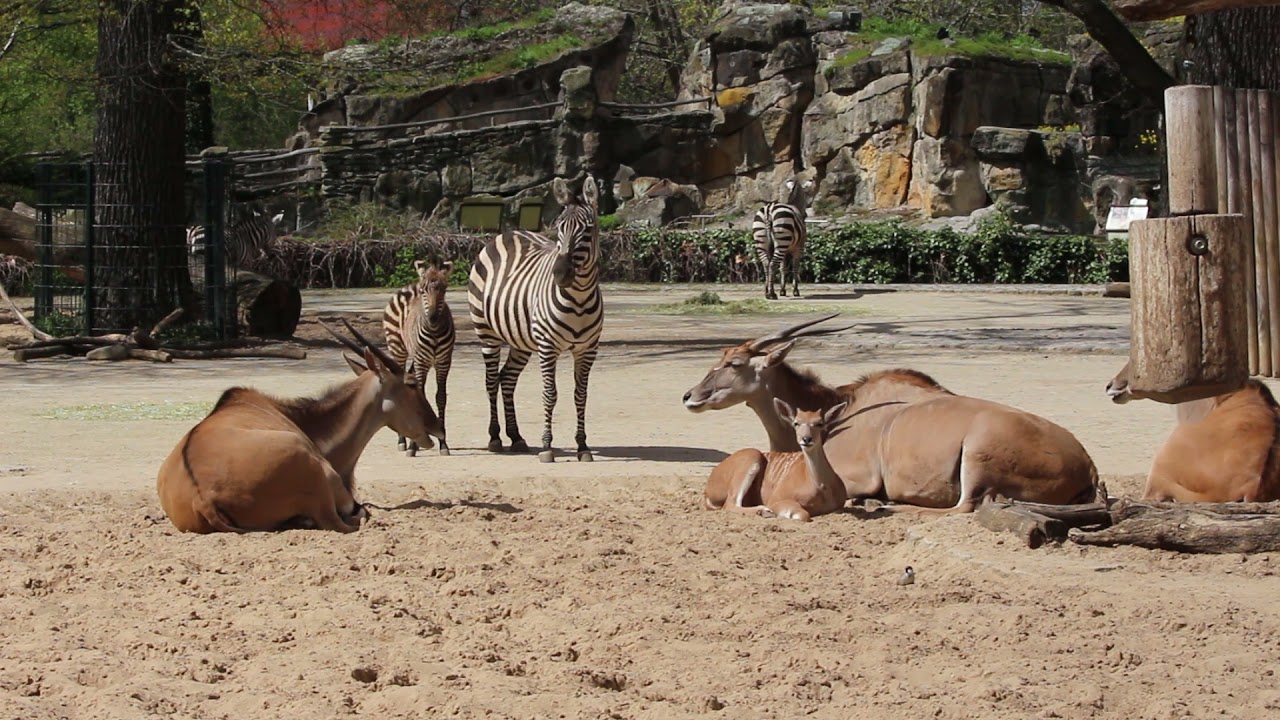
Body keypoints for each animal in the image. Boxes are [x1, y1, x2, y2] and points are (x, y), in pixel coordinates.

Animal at [382, 259, 456, 457]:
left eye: (444, 290)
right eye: (424, 291)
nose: (433, 318)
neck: (435, 332)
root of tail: (410, 286)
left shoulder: (444, 362)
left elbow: (441, 397)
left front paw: (443, 443)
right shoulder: (422, 362)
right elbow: (421, 395)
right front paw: (413, 447)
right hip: (398, 349)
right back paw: (403, 441)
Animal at [467, 175, 603, 463]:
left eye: (587, 231)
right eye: (559, 229)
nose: (559, 274)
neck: (579, 299)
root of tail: (508, 232)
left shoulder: (588, 350)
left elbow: (581, 396)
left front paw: (582, 446)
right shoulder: (548, 347)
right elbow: (550, 394)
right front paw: (547, 446)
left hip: (521, 340)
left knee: (506, 379)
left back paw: (516, 437)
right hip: (486, 332)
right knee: (490, 381)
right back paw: (495, 438)